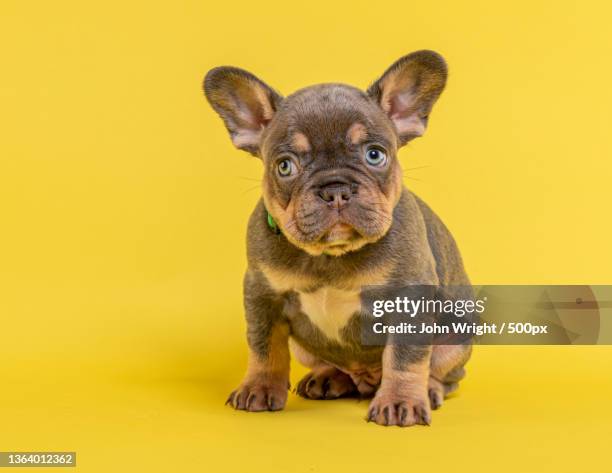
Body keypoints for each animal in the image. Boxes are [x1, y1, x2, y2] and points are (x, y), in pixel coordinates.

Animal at [203, 49, 470, 426]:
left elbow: (405, 356)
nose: (335, 189)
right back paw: (328, 377)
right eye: (285, 166)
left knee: (444, 373)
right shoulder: (262, 292)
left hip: (455, 340)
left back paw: (429, 390)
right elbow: (264, 345)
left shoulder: (409, 296)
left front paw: (401, 401)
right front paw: (259, 386)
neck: (330, 255)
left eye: (375, 154)